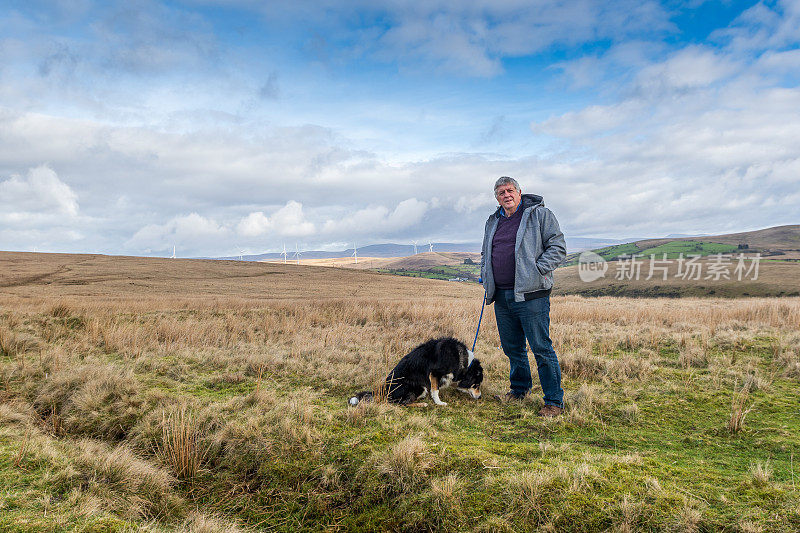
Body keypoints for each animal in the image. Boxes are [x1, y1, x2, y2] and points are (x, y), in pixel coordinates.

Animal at [348, 336, 482, 408]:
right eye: (476, 385)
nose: (480, 397)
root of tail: (385, 389)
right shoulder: (435, 373)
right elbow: (435, 390)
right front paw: (439, 402)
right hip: (418, 387)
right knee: (400, 403)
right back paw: (421, 404)